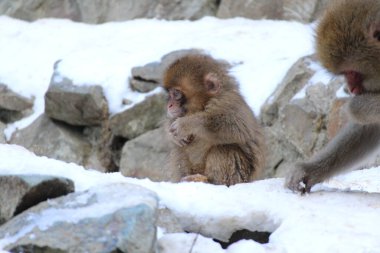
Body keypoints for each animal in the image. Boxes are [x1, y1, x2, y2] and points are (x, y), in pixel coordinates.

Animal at [286, 0, 380, 193]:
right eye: (346, 73)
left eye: (352, 72)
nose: (351, 89)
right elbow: (371, 128)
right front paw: (309, 170)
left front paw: (358, 107)